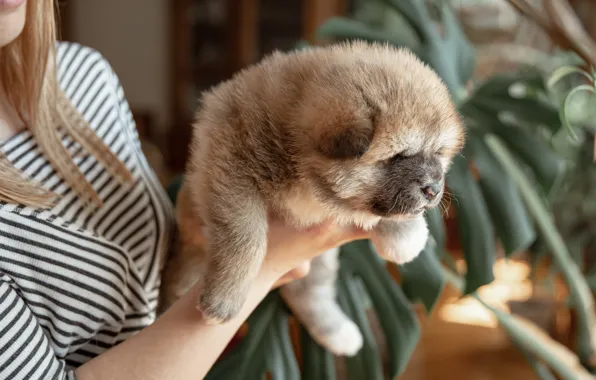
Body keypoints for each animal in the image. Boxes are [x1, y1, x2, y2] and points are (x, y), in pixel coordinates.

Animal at [159, 40, 466, 354]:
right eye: (398, 156)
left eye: (438, 154)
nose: (434, 189)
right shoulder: (230, 168)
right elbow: (246, 239)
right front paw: (223, 298)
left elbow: (393, 213)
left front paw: (407, 236)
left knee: (310, 293)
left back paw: (339, 333)